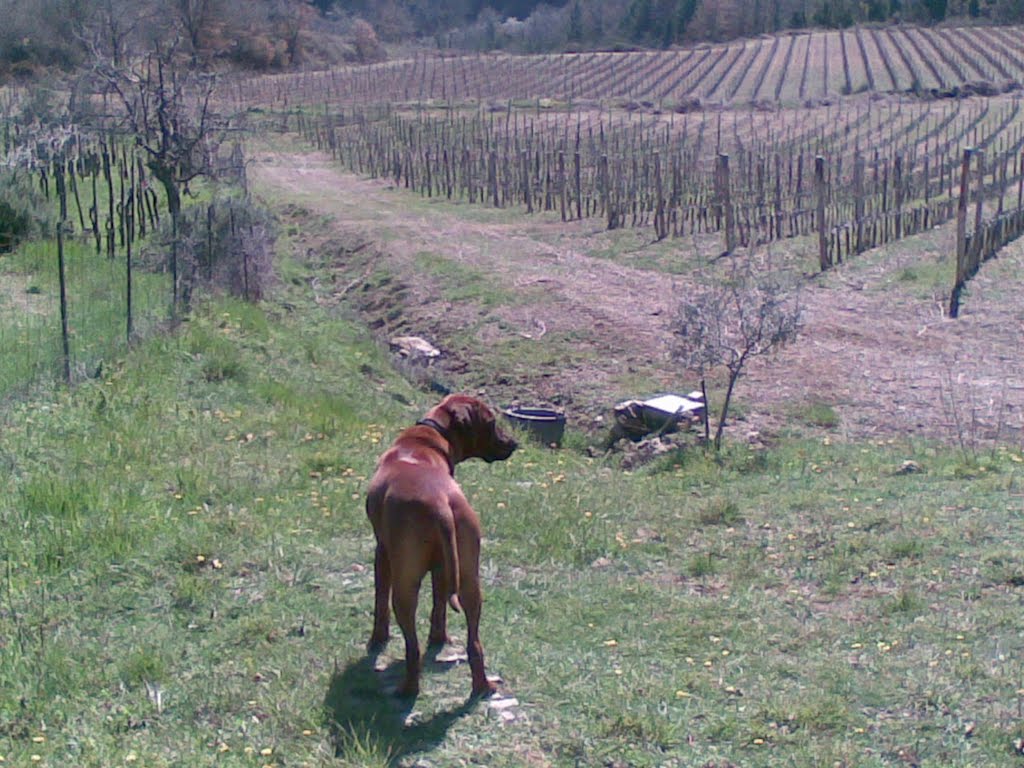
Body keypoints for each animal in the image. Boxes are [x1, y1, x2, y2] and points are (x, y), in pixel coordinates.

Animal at [364, 393, 516, 700]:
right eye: (492, 423)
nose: (514, 443)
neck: (426, 440)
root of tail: (440, 504)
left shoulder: (381, 552)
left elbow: (380, 601)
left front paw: (377, 640)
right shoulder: (442, 567)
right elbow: (439, 605)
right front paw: (439, 638)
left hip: (405, 585)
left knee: (412, 646)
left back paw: (408, 690)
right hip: (469, 579)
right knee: (474, 642)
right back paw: (482, 686)